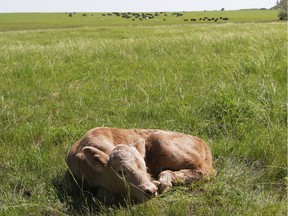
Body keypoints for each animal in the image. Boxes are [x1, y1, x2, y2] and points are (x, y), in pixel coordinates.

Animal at [66, 126, 215, 202]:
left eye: (145, 168)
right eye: (121, 172)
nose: (151, 191)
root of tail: (202, 141)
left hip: (162, 141)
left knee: (207, 170)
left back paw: (165, 180)